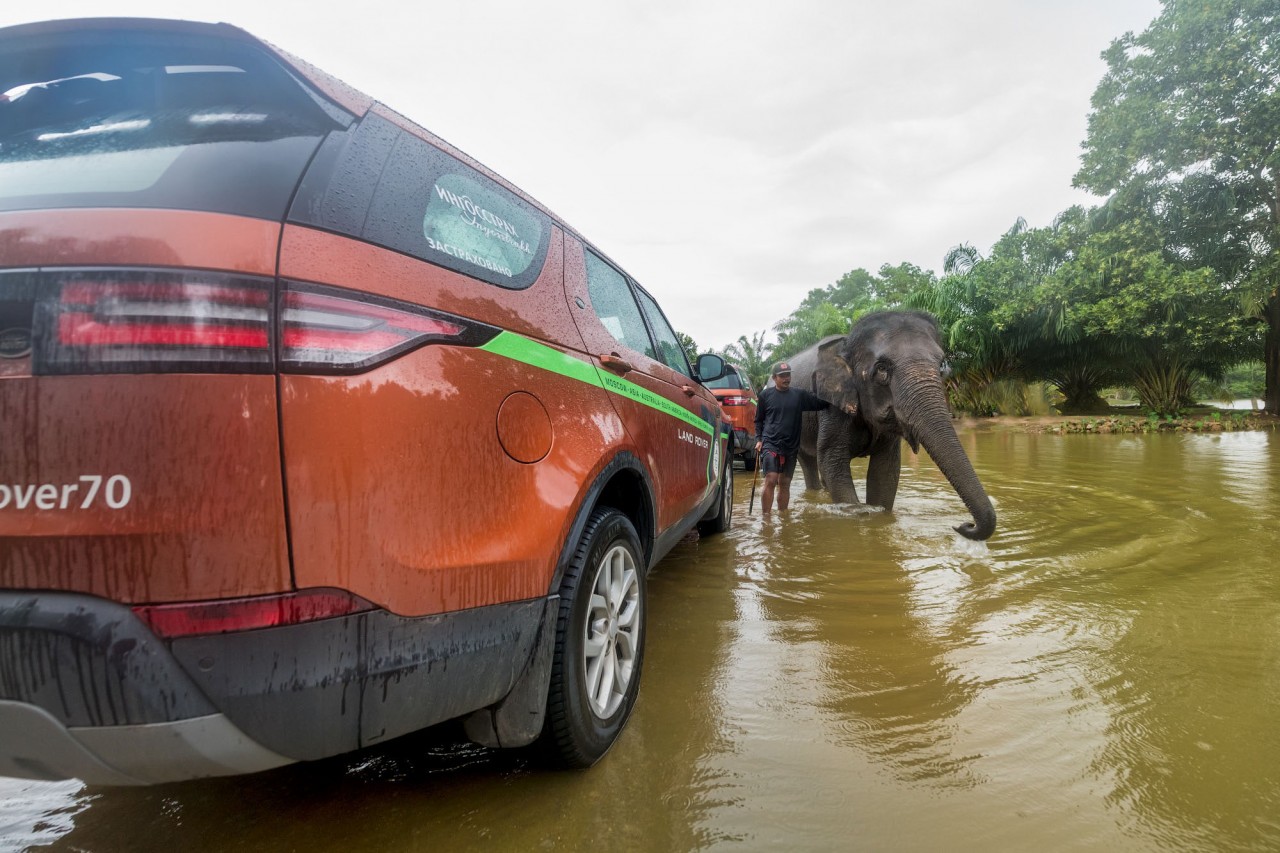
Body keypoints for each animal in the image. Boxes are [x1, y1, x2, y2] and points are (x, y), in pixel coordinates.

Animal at [788, 311, 998, 537]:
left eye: (941, 366)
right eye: (881, 369)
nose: (964, 525)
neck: (847, 343)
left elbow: (885, 471)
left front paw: (879, 518)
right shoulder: (832, 407)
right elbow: (833, 463)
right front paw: (858, 518)